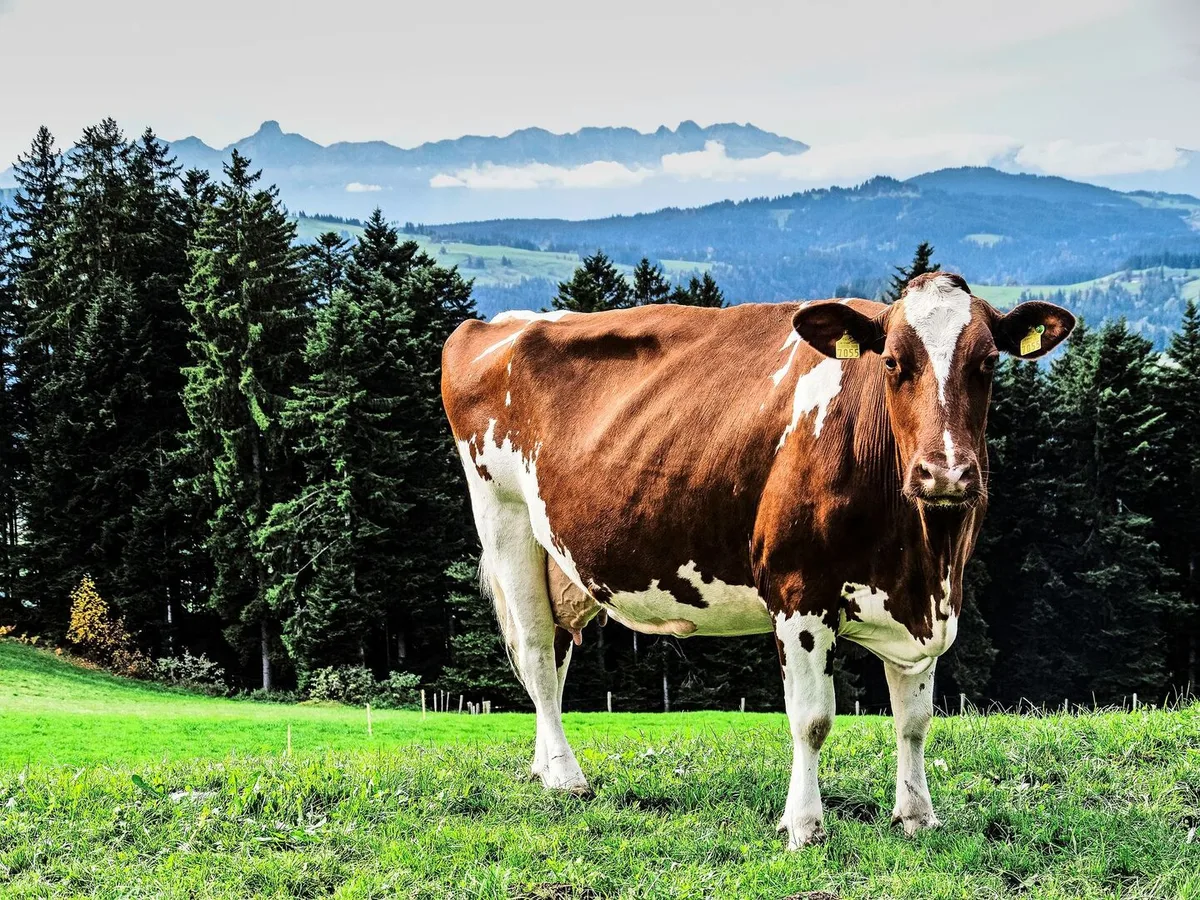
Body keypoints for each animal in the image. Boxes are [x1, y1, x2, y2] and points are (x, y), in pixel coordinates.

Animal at [440, 273, 1074, 849]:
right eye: (893, 362)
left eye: (988, 363)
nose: (945, 473)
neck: (922, 555)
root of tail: (497, 324)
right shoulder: (799, 594)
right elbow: (812, 718)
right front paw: (804, 826)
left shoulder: (929, 604)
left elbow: (914, 721)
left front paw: (917, 816)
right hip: (506, 522)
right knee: (536, 655)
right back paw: (567, 780)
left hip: (564, 565)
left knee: (556, 655)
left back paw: (544, 767)